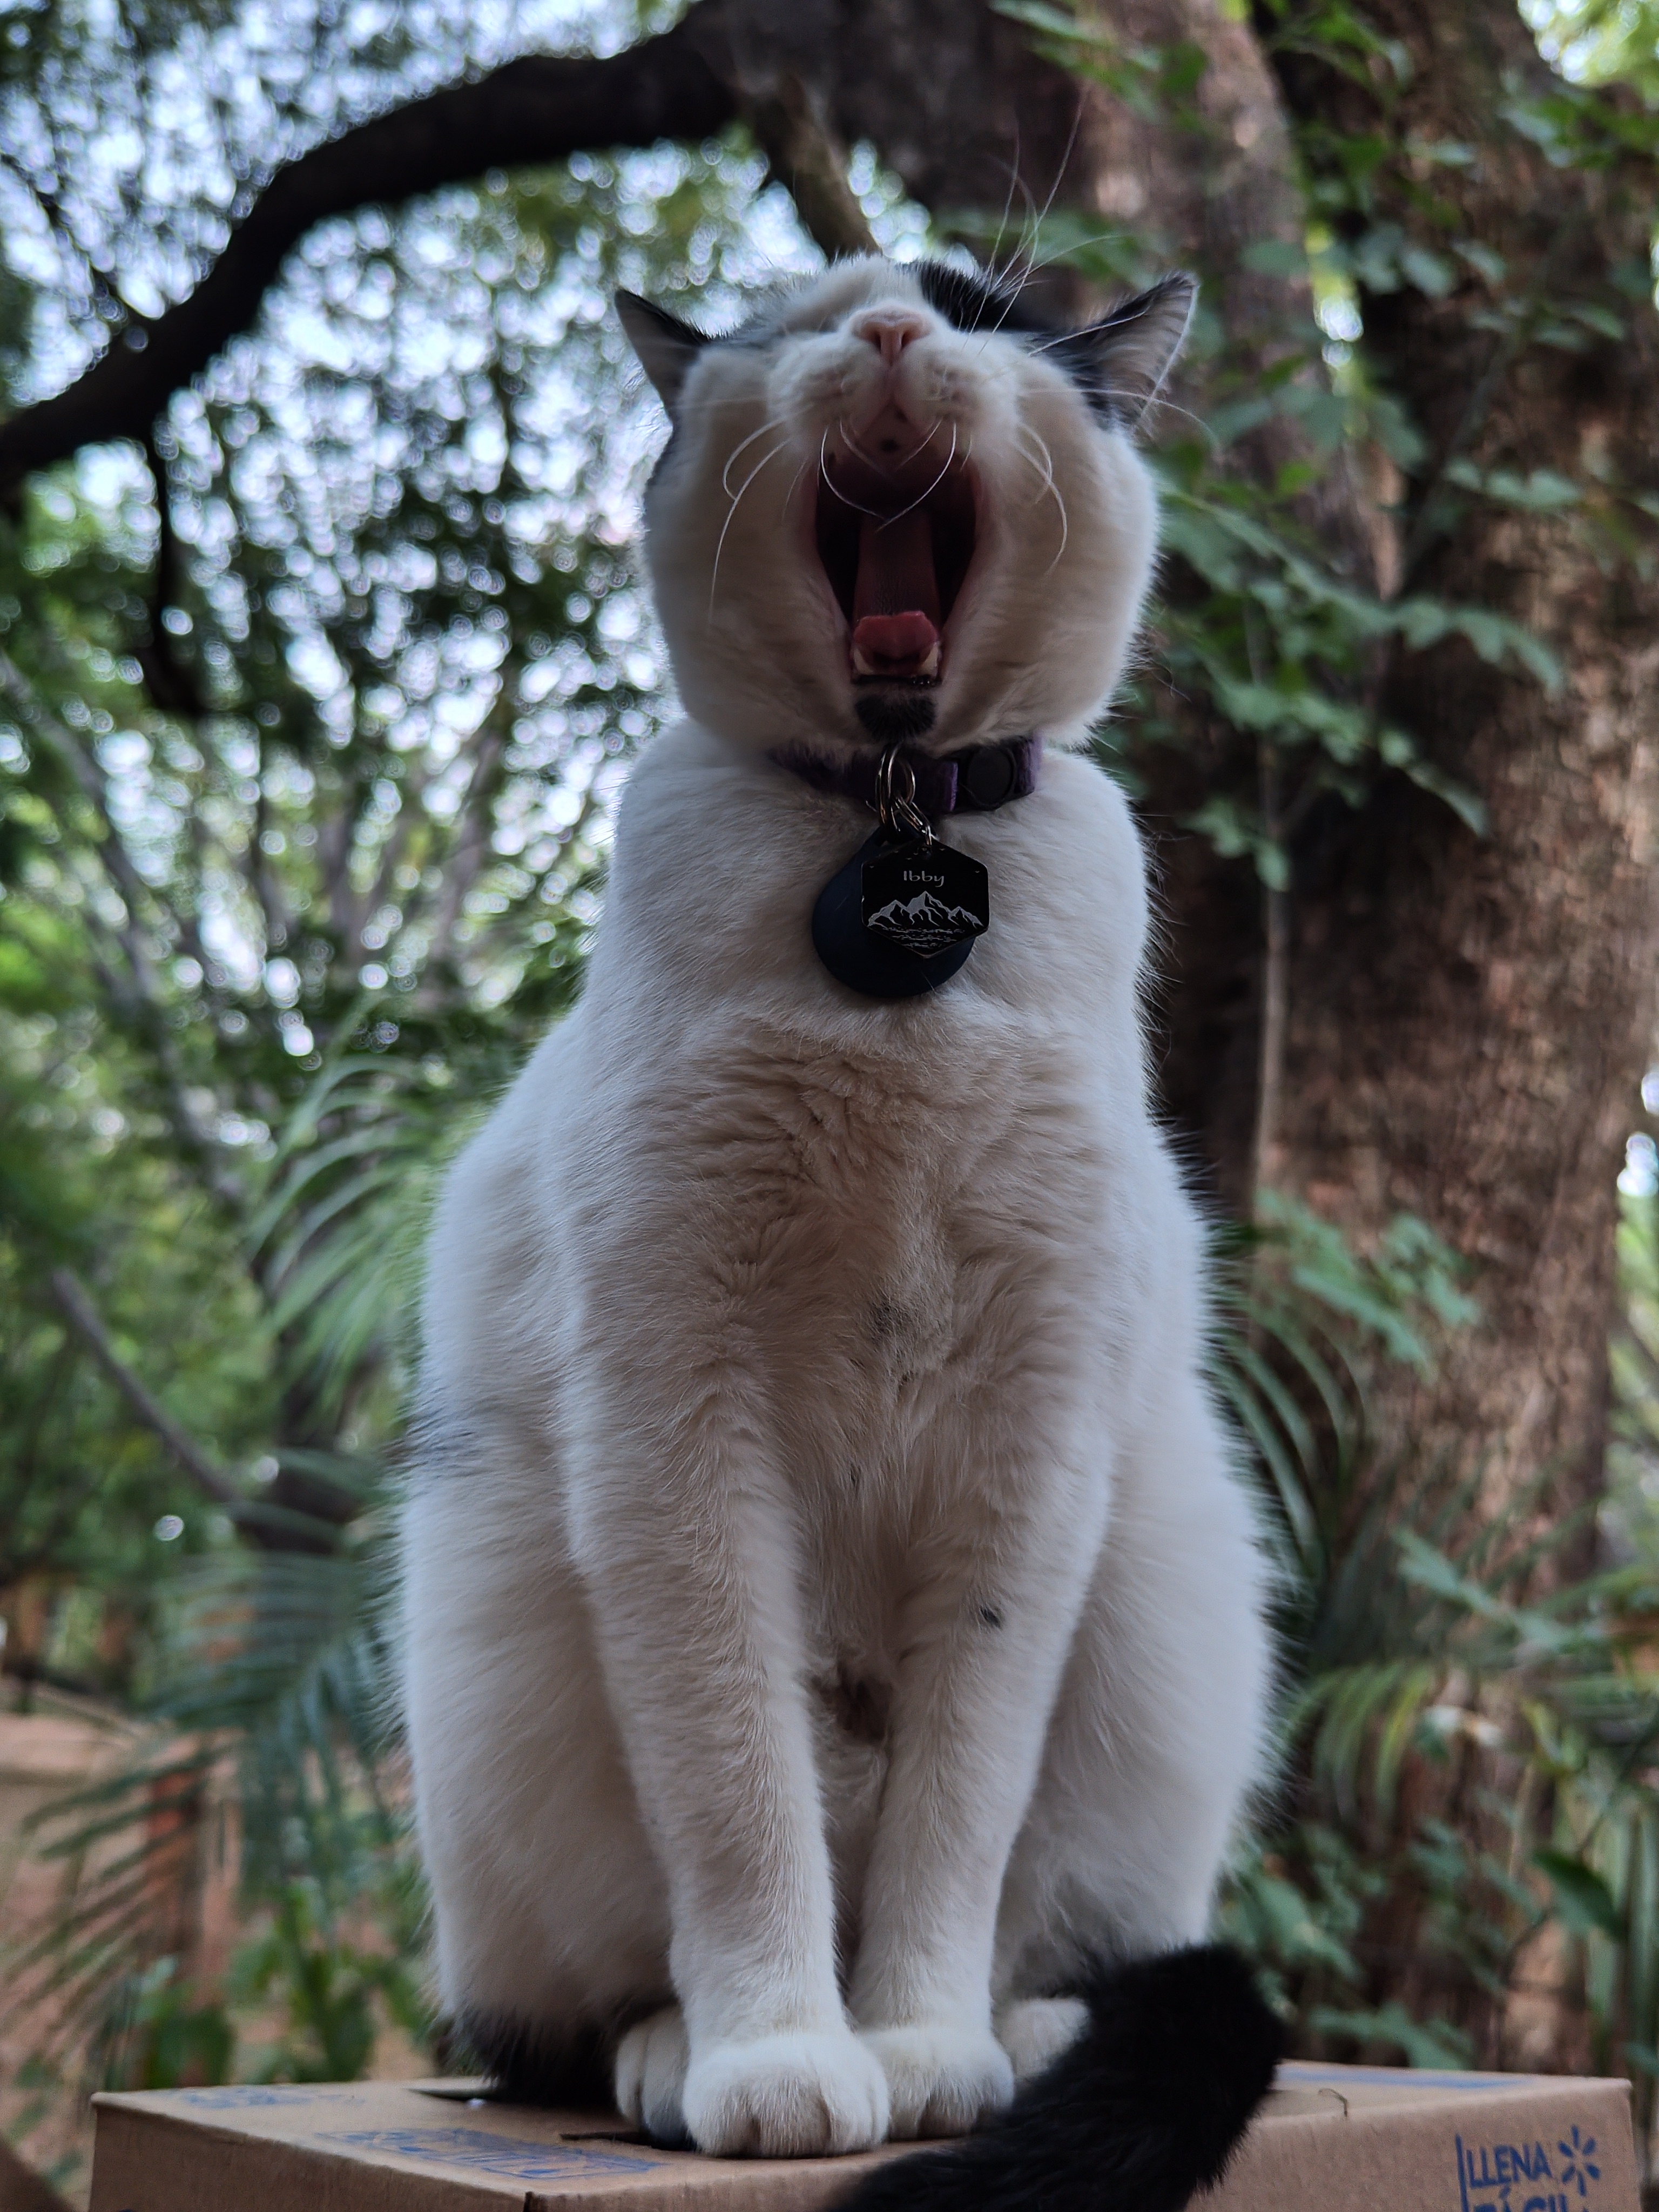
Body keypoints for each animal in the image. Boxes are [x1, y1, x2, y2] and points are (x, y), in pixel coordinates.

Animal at [402, 254, 1283, 2194]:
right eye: (799, 317)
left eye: (983, 310)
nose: (885, 329)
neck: (889, 841)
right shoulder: (675, 1424)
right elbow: (742, 1786)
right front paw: (783, 2053)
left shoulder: (1034, 1445)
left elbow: (961, 1798)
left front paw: (915, 2042)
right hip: (498, 1645)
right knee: (547, 2027)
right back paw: (672, 2050)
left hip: (1163, 1603)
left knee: (1071, 1932)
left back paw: (1020, 2040)